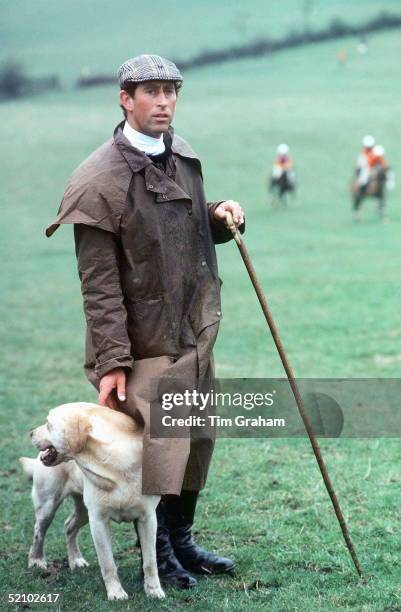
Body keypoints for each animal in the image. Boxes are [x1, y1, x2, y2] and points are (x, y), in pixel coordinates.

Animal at [19, 402, 164, 604]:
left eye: (48, 424)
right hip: (47, 506)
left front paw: (154, 591)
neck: (115, 463)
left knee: (69, 526)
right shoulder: (98, 521)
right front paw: (116, 593)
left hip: (82, 512)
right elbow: (108, 563)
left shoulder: (148, 519)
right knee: (38, 532)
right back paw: (36, 561)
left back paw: (75, 560)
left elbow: (150, 562)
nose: (31, 433)